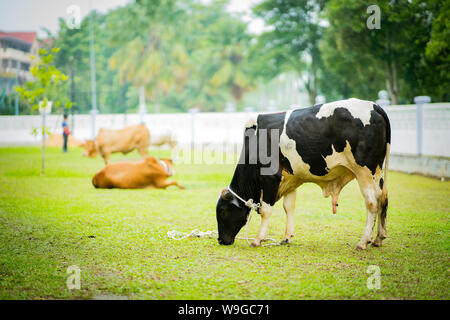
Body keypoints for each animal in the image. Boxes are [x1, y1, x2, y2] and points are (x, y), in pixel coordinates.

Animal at [217, 97, 390, 250]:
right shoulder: (291, 179)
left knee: (372, 203)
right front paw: (286, 237)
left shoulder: (270, 178)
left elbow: (266, 210)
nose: (220, 240)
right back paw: (378, 239)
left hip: (364, 171)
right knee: (383, 199)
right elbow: (288, 207)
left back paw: (363, 242)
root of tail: (375, 106)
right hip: (377, 173)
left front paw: (257, 240)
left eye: (222, 211)